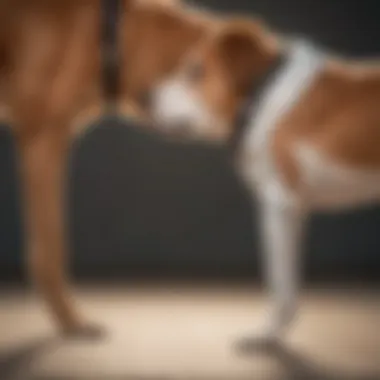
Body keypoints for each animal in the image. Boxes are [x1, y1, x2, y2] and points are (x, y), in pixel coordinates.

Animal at [151, 19, 380, 342]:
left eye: (195, 70)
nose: (145, 96)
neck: (261, 93)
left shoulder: (278, 203)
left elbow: (279, 280)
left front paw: (269, 333)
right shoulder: (295, 211)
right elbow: (290, 278)